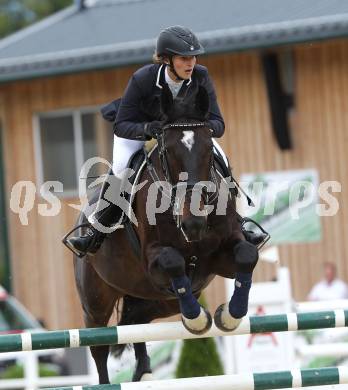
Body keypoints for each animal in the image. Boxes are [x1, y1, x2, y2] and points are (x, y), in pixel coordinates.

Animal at [72, 83, 258, 384]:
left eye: (209, 147)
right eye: (168, 151)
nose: (193, 224)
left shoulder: (220, 258)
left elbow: (247, 254)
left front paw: (230, 316)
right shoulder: (153, 261)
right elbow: (173, 262)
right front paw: (197, 319)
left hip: (161, 300)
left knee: (135, 321)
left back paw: (144, 371)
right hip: (95, 303)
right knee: (100, 346)